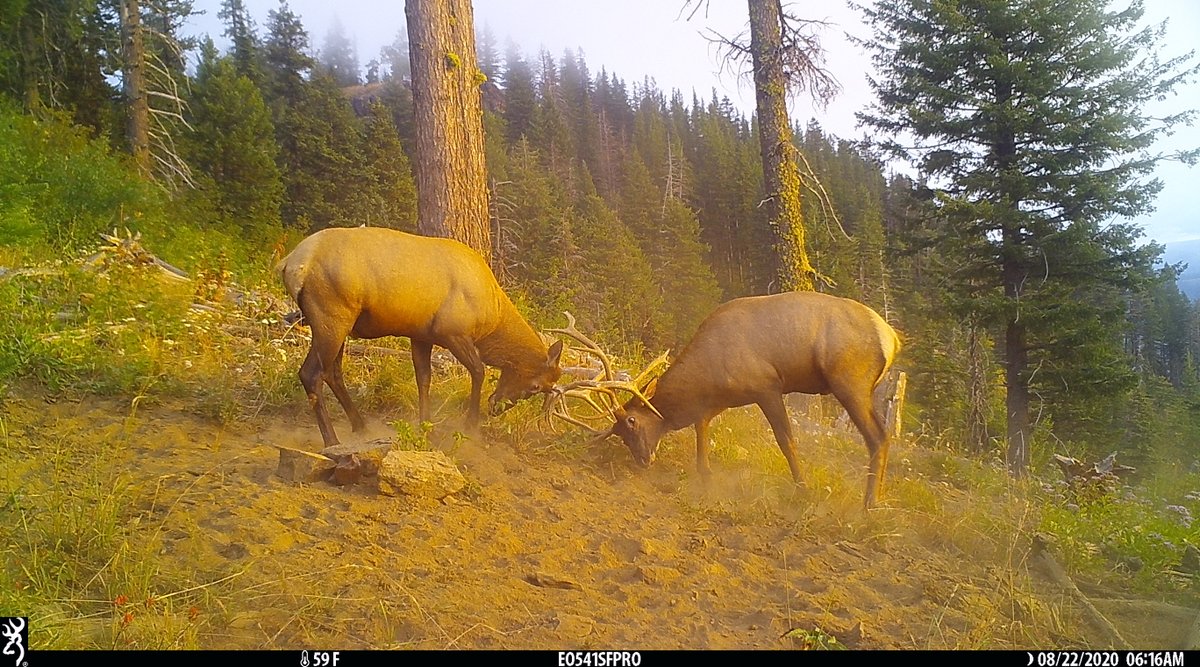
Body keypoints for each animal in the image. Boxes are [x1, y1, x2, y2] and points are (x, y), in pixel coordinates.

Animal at [276, 226, 564, 448]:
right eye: (536, 386)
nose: (496, 408)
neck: (491, 322)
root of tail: (290, 264)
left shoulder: (421, 335)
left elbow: (423, 378)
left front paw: (426, 426)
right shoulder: (453, 332)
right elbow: (478, 370)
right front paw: (471, 425)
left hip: (339, 323)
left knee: (333, 372)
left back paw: (361, 426)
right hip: (331, 317)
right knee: (311, 373)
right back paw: (332, 440)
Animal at [547, 292, 902, 509]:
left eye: (631, 421)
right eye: (619, 433)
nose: (643, 460)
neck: (707, 372)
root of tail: (892, 338)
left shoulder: (767, 386)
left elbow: (786, 440)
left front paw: (803, 488)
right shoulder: (721, 399)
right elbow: (701, 431)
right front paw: (706, 476)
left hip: (849, 381)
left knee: (877, 436)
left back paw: (870, 503)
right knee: (883, 435)